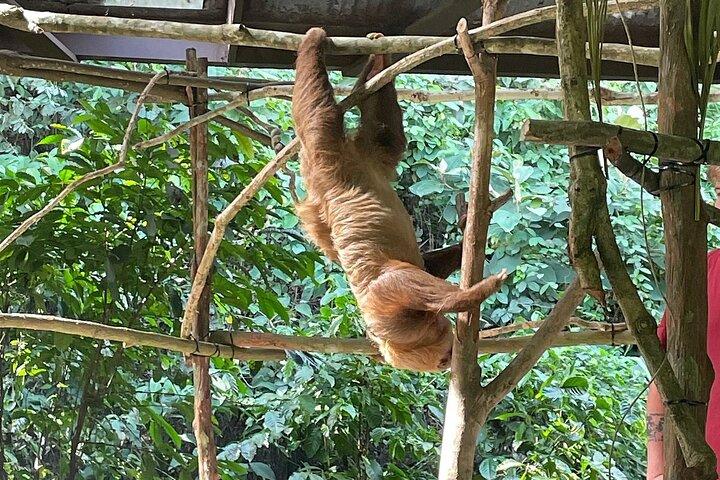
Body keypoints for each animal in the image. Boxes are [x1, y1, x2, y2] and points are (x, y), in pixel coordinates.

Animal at [291, 27, 508, 372]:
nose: (447, 361)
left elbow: (412, 276)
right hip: (344, 162)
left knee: (321, 117)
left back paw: (330, 47)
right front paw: (475, 291)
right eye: (441, 358)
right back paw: (368, 59)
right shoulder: (389, 312)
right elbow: (410, 276)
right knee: (374, 132)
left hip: (330, 163)